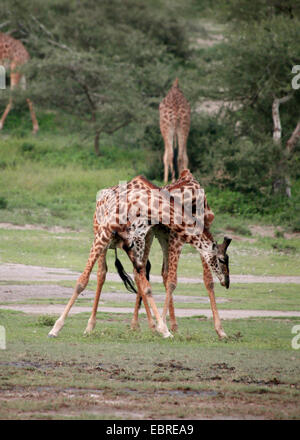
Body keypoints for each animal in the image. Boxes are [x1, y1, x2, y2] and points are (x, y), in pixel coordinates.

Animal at [48, 170, 231, 338]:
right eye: (223, 259)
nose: (227, 282)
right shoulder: (106, 235)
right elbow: (82, 281)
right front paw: (55, 328)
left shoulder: (141, 240)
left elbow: (150, 286)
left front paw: (163, 328)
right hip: (101, 235)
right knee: (102, 274)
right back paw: (90, 326)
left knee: (145, 276)